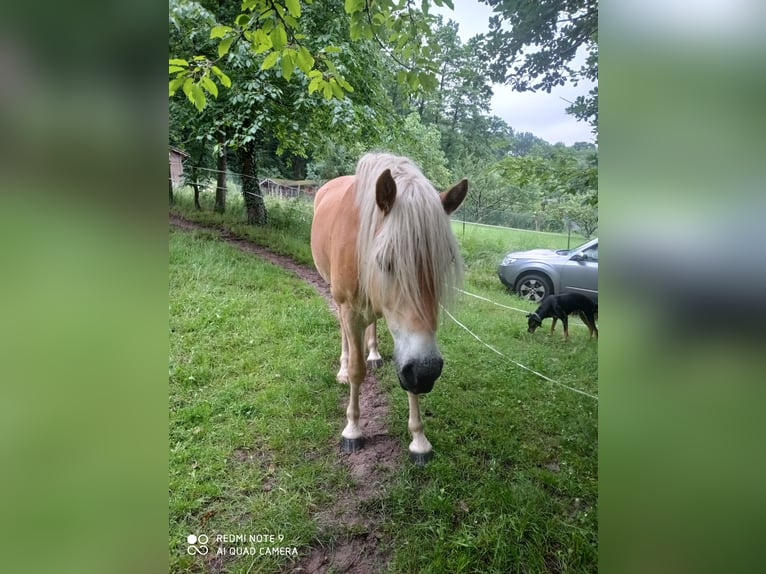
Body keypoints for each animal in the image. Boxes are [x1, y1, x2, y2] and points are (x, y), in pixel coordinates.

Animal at [310, 152, 468, 464]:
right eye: (386, 261)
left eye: (443, 263)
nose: (427, 371)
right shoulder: (350, 309)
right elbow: (358, 370)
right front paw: (352, 429)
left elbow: (408, 379)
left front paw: (419, 440)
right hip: (339, 299)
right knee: (344, 334)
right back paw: (343, 369)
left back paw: (373, 353)